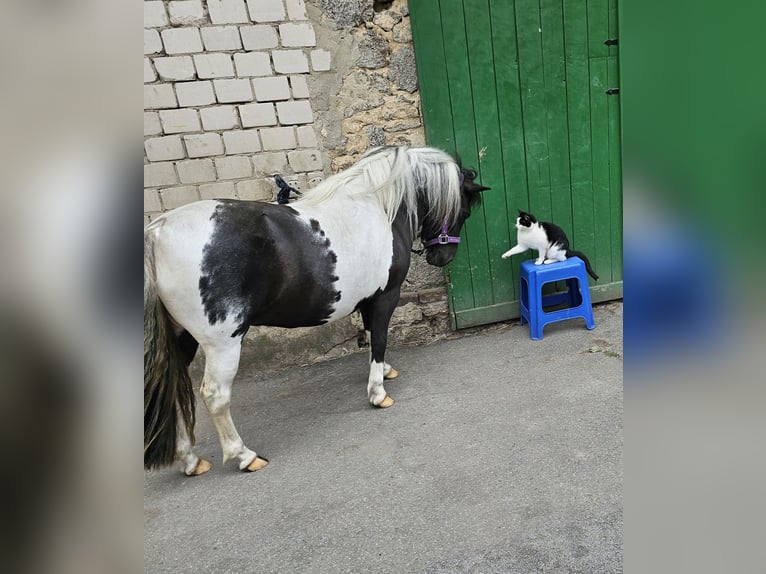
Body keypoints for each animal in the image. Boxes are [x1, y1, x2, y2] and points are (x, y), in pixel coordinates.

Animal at [146, 147, 486, 476]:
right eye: (464, 211)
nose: (441, 257)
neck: (378, 207)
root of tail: (158, 232)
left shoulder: (367, 300)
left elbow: (369, 335)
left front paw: (385, 371)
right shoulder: (386, 297)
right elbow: (379, 339)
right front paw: (378, 393)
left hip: (183, 339)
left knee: (174, 394)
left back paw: (191, 461)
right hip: (222, 343)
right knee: (215, 395)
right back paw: (245, 456)